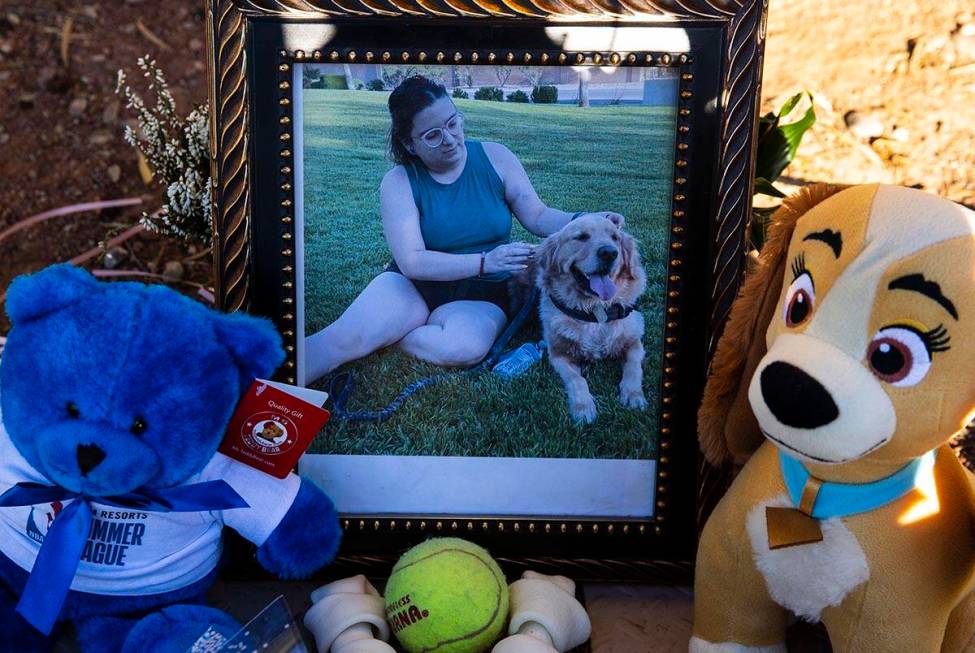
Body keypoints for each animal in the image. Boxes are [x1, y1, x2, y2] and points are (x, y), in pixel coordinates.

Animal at [532, 214, 648, 422]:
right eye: (581, 237)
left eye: (615, 238)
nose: (609, 253)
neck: (595, 309)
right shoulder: (558, 354)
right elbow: (577, 380)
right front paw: (583, 407)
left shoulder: (634, 343)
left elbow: (634, 368)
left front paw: (633, 395)